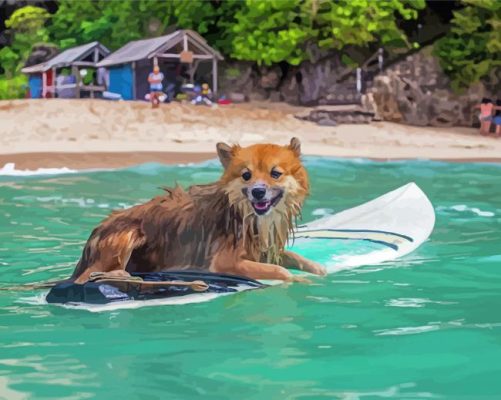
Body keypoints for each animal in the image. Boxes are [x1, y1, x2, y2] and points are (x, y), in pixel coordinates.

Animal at [72, 139, 326, 282]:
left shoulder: (265, 250)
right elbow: (281, 272)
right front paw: (300, 280)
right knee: (87, 276)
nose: (258, 192)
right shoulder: (225, 262)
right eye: (246, 175)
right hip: (126, 235)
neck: (246, 215)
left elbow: (296, 258)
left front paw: (318, 270)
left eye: (275, 173)